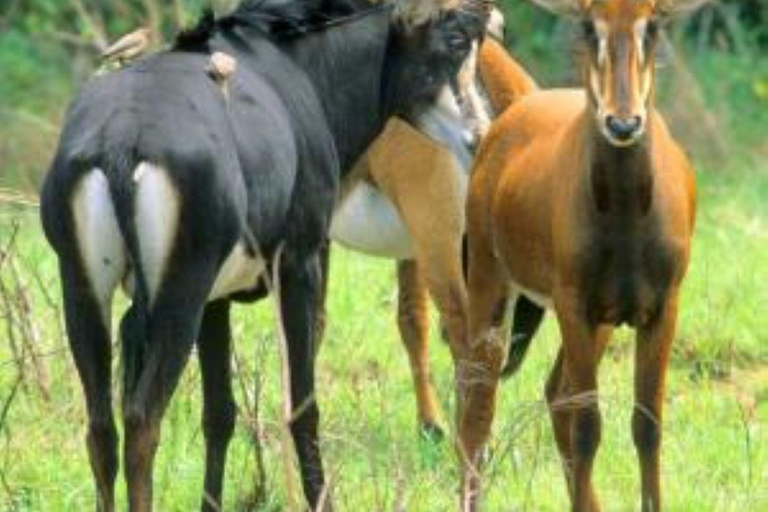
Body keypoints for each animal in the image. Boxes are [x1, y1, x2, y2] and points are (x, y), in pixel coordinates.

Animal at [460, 2, 704, 510]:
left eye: (652, 26)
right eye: (589, 27)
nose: (623, 124)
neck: (627, 215)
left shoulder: (662, 307)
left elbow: (647, 424)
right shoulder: (573, 302)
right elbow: (587, 424)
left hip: (605, 319)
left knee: (555, 392)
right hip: (491, 280)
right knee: (480, 399)